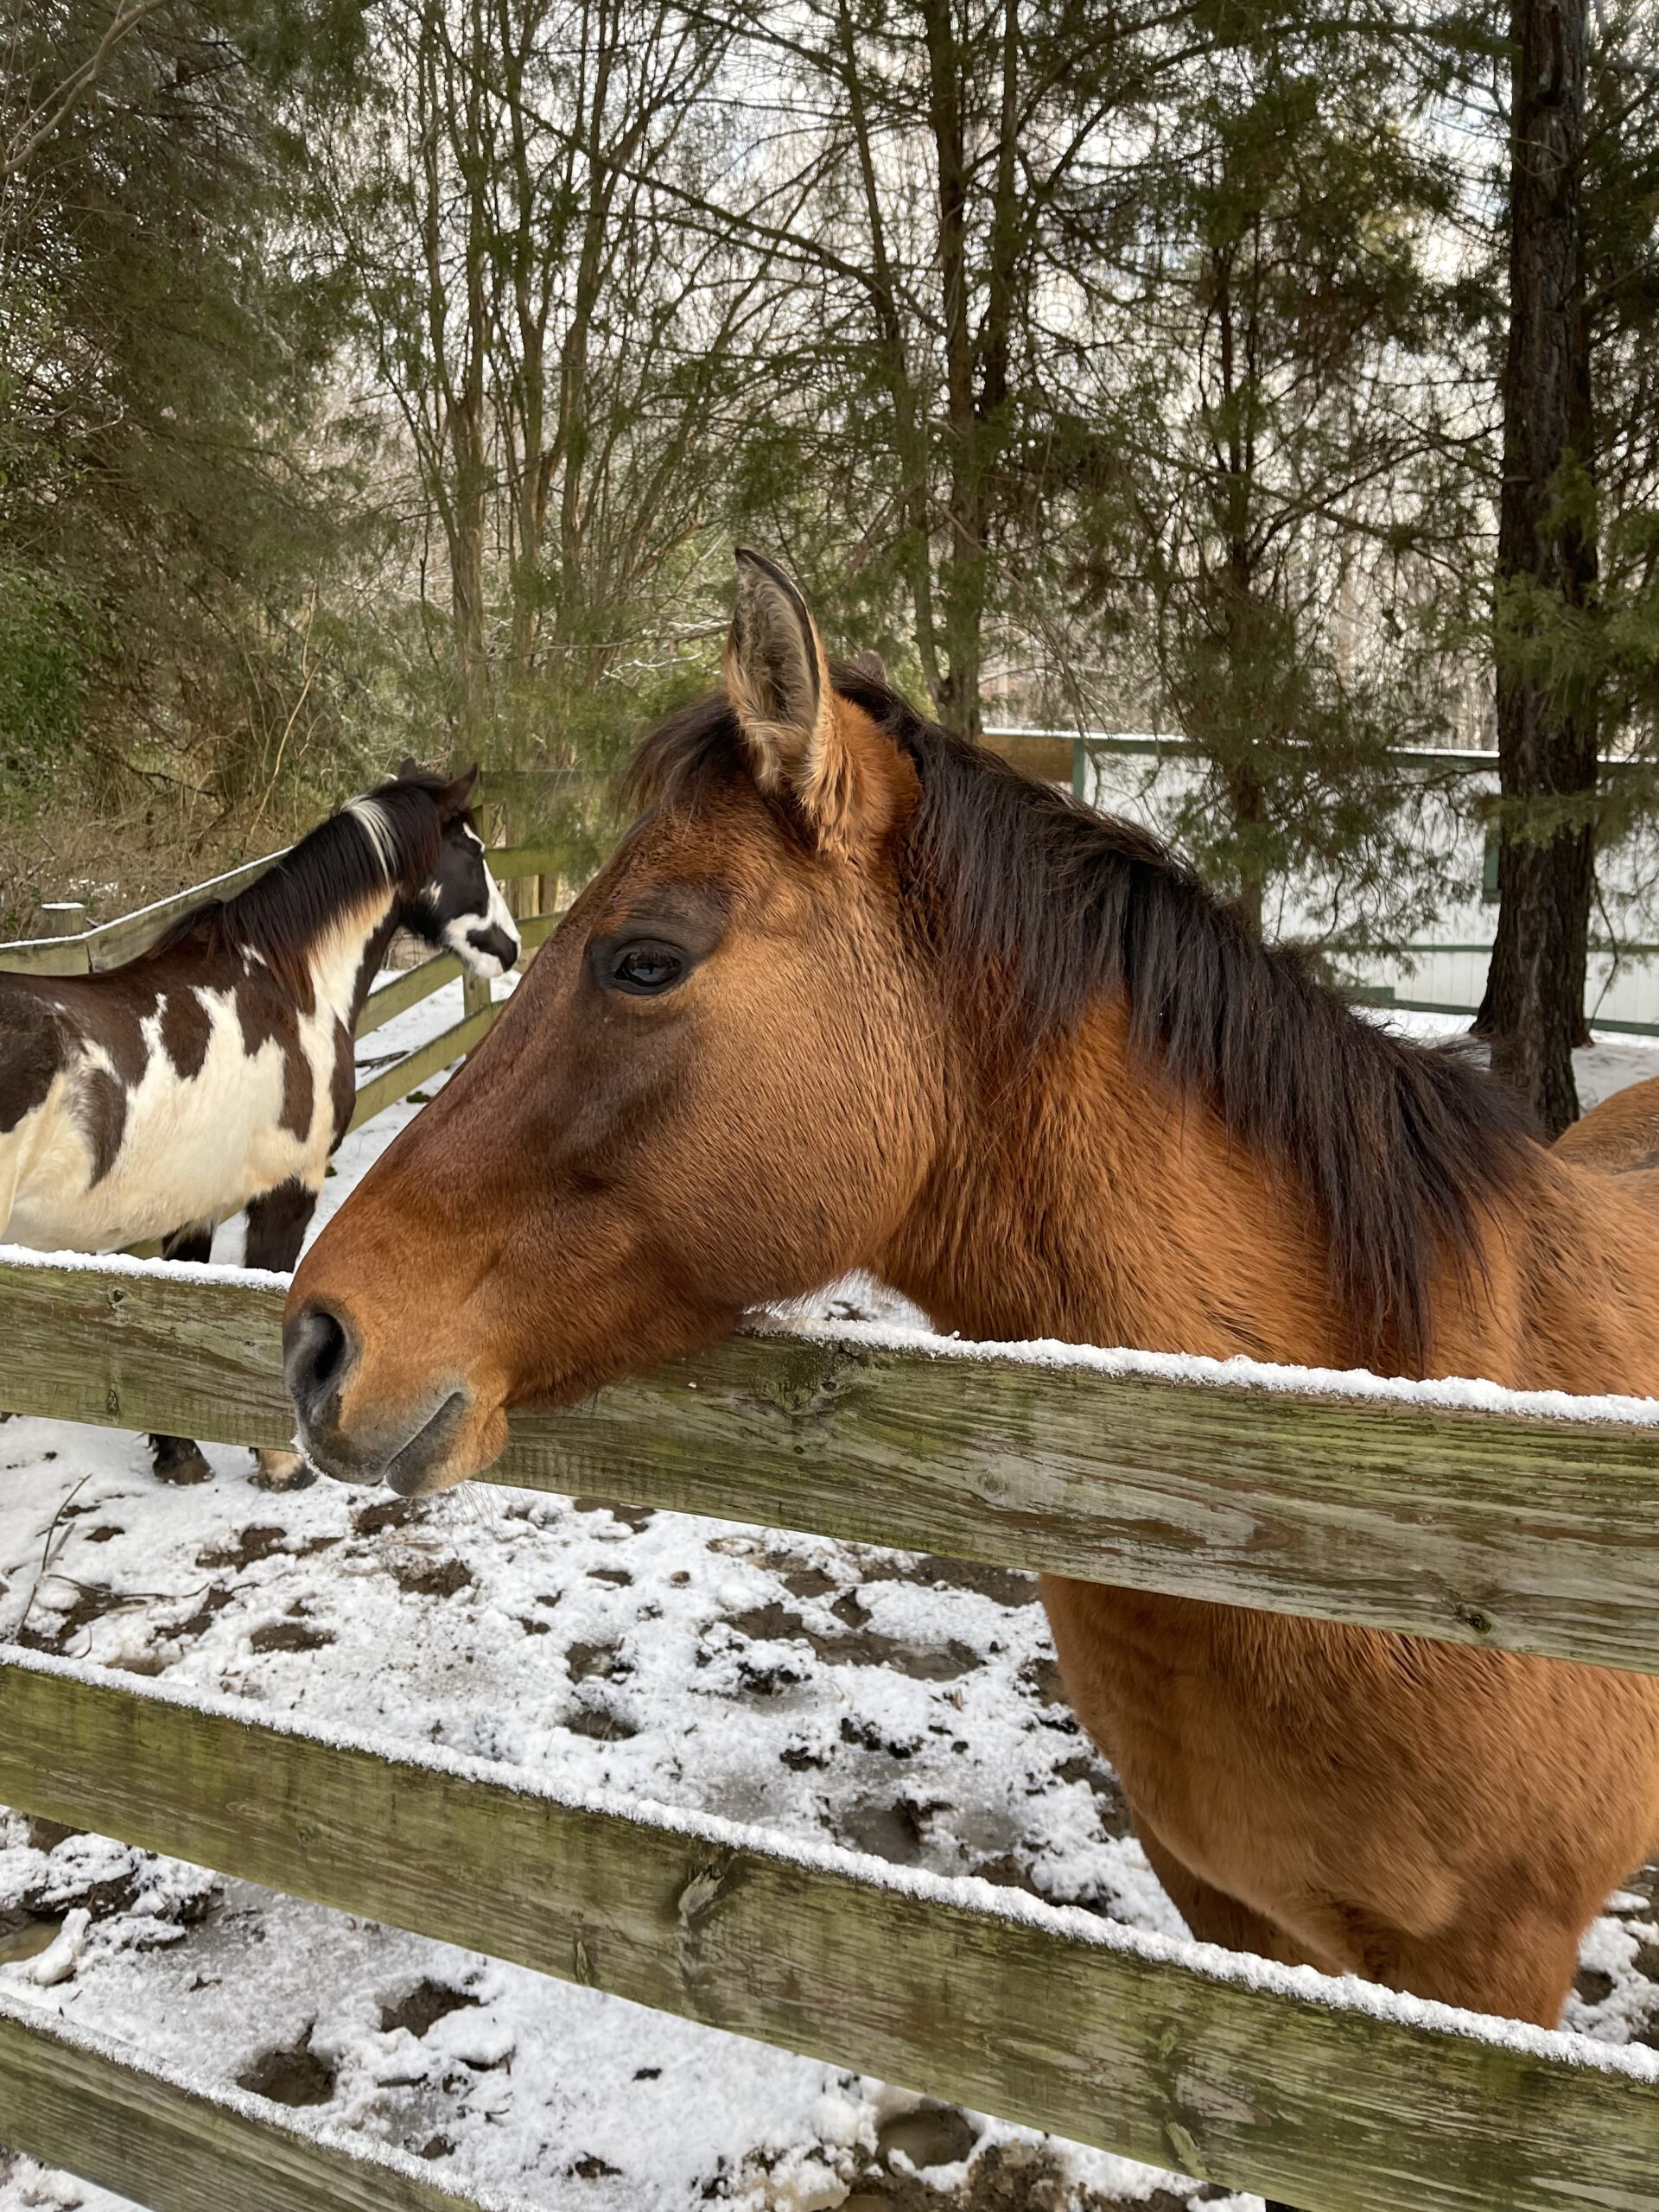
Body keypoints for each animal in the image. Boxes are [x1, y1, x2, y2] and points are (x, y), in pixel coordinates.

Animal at [1, 756, 519, 1486]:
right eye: (473, 852)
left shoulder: (191, 1203)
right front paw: (280, 1462)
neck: (287, 984)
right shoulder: (289, 1187)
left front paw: (180, 1452)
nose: (510, 948)